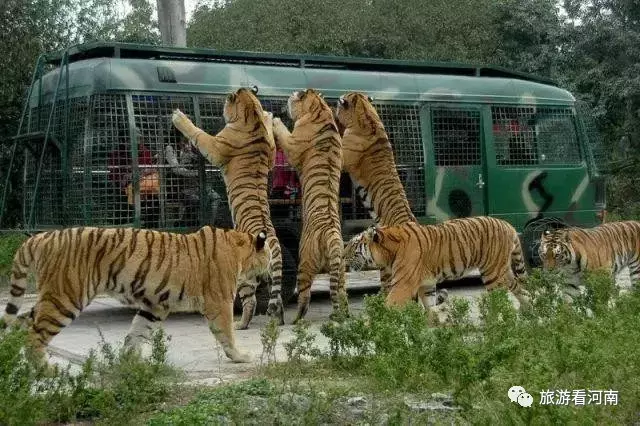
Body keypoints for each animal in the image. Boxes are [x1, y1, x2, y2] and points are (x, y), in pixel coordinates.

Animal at [0, 226, 270, 362]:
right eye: (268, 255)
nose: (268, 274)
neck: (238, 248)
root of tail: (40, 237)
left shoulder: (154, 307)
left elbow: (137, 333)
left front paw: (129, 363)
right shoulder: (219, 301)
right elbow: (226, 332)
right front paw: (240, 356)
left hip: (51, 297)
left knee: (21, 324)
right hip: (66, 298)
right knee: (34, 337)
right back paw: (46, 371)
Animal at [172, 85, 288, 328]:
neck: (251, 115)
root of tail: (272, 242)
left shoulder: (215, 146)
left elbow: (198, 134)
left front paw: (178, 117)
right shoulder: (270, 154)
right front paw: (270, 117)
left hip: (244, 277)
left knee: (251, 302)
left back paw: (240, 324)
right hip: (272, 275)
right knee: (277, 299)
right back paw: (277, 321)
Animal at [270, 89, 350, 322]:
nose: (286, 100)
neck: (320, 109)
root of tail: (332, 236)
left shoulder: (293, 144)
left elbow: (284, 133)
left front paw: (275, 120)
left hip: (304, 264)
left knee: (304, 298)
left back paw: (296, 320)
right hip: (340, 270)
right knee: (341, 293)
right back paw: (345, 315)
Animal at [344, 216, 528, 310]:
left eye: (353, 244)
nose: (342, 255)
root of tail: (509, 225)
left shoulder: (402, 285)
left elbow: (387, 305)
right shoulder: (426, 285)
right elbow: (430, 307)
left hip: (493, 273)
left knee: (500, 300)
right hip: (502, 270)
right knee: (521, 289)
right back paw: (528, 312)